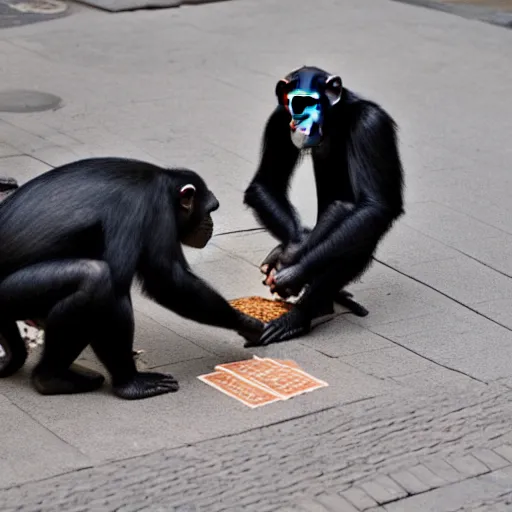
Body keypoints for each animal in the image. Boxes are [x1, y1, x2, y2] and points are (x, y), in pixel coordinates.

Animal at [244, 64, 404, 344]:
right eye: (293, 102)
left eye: (308, 101)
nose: (298, 118)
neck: (336, 118)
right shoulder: (278, 118)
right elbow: (266, 183)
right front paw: (291, 250)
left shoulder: (372, 126)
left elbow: (374, 207)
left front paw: (292, 271)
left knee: (360, 227)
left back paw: (300, 316)